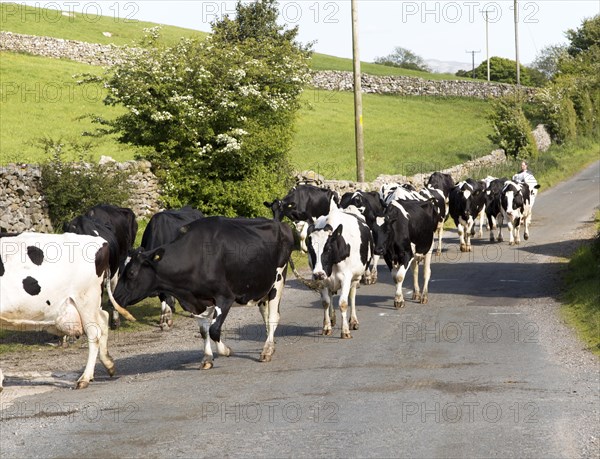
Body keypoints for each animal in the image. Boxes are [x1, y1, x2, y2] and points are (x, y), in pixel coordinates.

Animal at [0, 234, 129, 392]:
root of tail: (101, 241)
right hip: (90, 304)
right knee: (104, 318)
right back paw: (108, 365)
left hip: (86, 300)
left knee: (94, 334)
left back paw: (85, 378)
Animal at [113, 217, 294, 370]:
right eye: (120, 270)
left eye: (131, 273)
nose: (115, 297)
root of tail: (281, 224)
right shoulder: (197, 302)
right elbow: (204, 331)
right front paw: (207, 359)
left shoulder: (225, 297)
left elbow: (214, 329)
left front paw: (226, 350)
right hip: (261, 288)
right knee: (265, 315)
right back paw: (270, 343)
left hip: (278, 281)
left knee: (273, 317)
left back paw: (267, 350)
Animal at [308, 208, 372, 338]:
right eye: (310, 249)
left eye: (328, 249)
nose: (318, 274)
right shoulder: (322, 281)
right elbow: (325, 302)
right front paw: (326, 327)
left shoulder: (346, 278)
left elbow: (343, 303)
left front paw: (345, 331)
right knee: (331, 295)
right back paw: (331, 318)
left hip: (355, 278)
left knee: (352, 296)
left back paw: (353, 321)